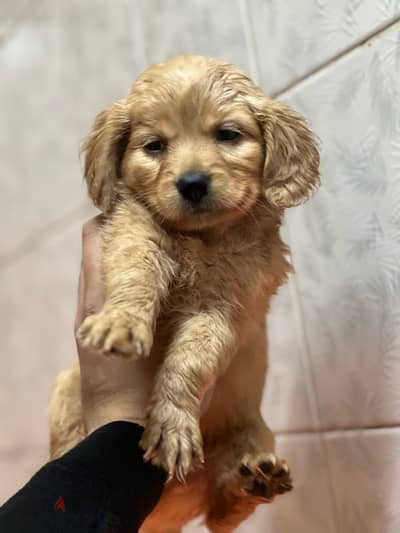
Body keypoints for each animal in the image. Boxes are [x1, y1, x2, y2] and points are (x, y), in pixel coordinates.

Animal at [49, 55, 318, 532]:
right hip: (65, 388)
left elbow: (191, 359)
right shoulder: (133, 230)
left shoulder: (228, 308)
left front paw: (172, 423)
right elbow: (136, 273)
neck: (202, 238)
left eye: (228, 134)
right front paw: (120, 322)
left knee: (221, 511)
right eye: (154, 145)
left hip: (253, 437)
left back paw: (257, 478)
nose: (192, 183)